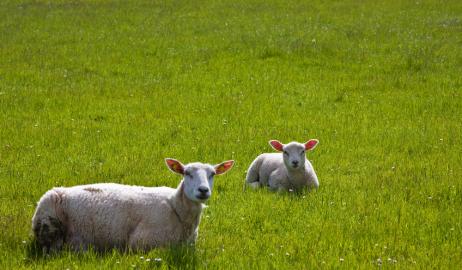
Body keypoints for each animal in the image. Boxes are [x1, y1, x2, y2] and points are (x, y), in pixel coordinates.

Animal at [31, 157, 235, 252]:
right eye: (187, 173)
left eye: (212, 174)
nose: (203, 190)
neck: (175, 208)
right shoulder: (140, 242)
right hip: (49, 225)